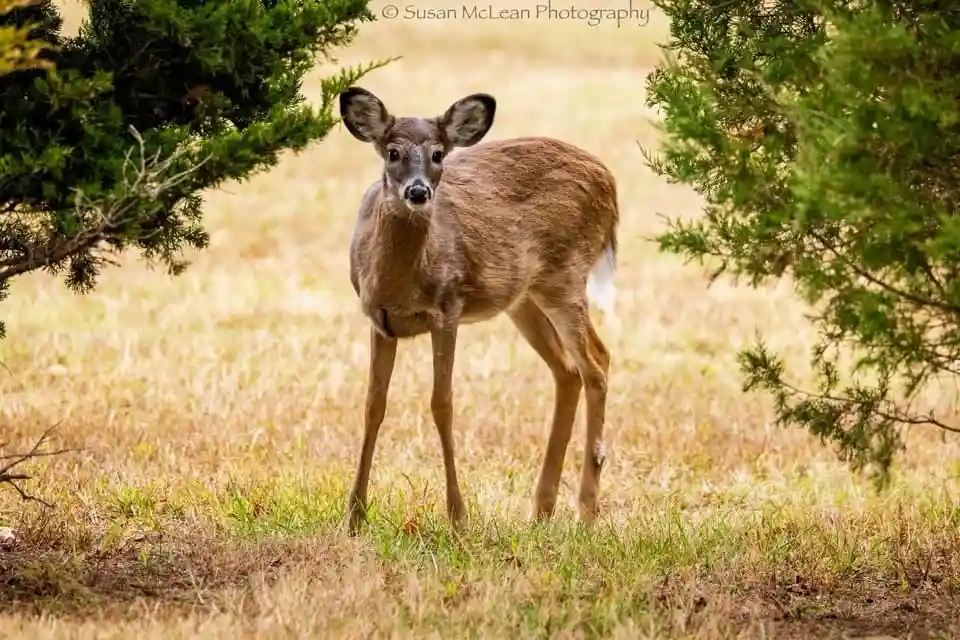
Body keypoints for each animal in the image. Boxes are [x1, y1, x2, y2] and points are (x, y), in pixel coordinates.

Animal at [338, 86, 620, 535]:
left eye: (438, 154)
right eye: (392, 152)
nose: (418, 192)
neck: (400, 281)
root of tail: (609, 180)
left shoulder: (448, 309)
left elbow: (442, 404)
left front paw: (458, 518)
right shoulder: (378, 321)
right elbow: (372, 406)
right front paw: (354, 517)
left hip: (566, 276)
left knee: (597, 361)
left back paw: (586, 510)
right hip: (524, 298)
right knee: (568, 370)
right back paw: (541, 510)